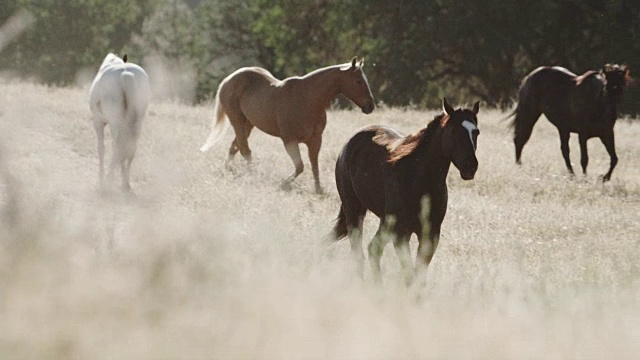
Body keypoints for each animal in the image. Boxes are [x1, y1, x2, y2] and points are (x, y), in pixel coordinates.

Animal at [89, 53, 151, 191]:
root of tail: (126, 74)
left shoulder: (98, 121)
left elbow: (101, 148)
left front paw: (101, 179)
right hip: (137, 121)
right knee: (129, 147)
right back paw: (125, 183)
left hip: (115, 122)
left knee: (118, 146)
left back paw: (108, 179)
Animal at [201, 57, 376, 193]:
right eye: (358, 81)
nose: (370, 106)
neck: (307, 99)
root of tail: (228, 79)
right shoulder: (289, 141)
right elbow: (300, 166)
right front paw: (284, 184)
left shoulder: (315, 141)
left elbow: (314, 165)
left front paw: (318, 189)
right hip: (237, 121)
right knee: (245, 150)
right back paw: (252, 176)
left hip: (248, 124)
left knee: (235, 147)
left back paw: (228, 170)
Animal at [332, 98, 478, 284]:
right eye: (454, 131)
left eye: (476, 132)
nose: (470, 166)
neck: (419, 179)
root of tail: (348, 144)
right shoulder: (400, 232)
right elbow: (409, 274)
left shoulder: (430, 235)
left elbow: (418, 276)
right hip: (355, 211)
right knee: (362, 251)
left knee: (373, 249)